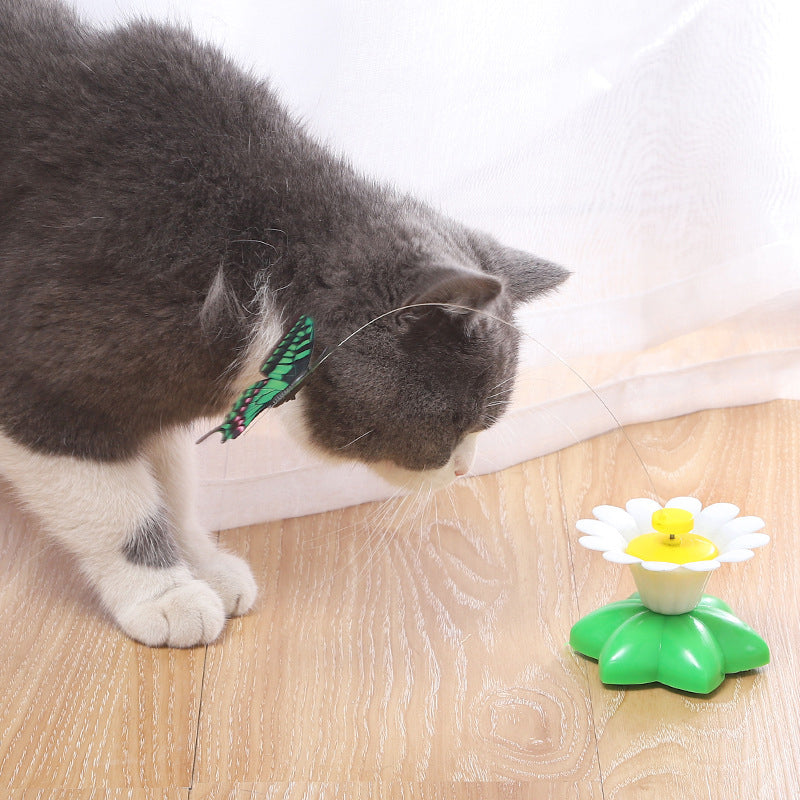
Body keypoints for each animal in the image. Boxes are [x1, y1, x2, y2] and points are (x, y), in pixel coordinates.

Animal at [3, 0, 572, 648]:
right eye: (458, 421)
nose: (464, 467)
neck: (249, 246)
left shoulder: (153, 386)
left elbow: (171, 483)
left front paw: (203, 563)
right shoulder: (47, 376)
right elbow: (116, 505)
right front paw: (166, 594)